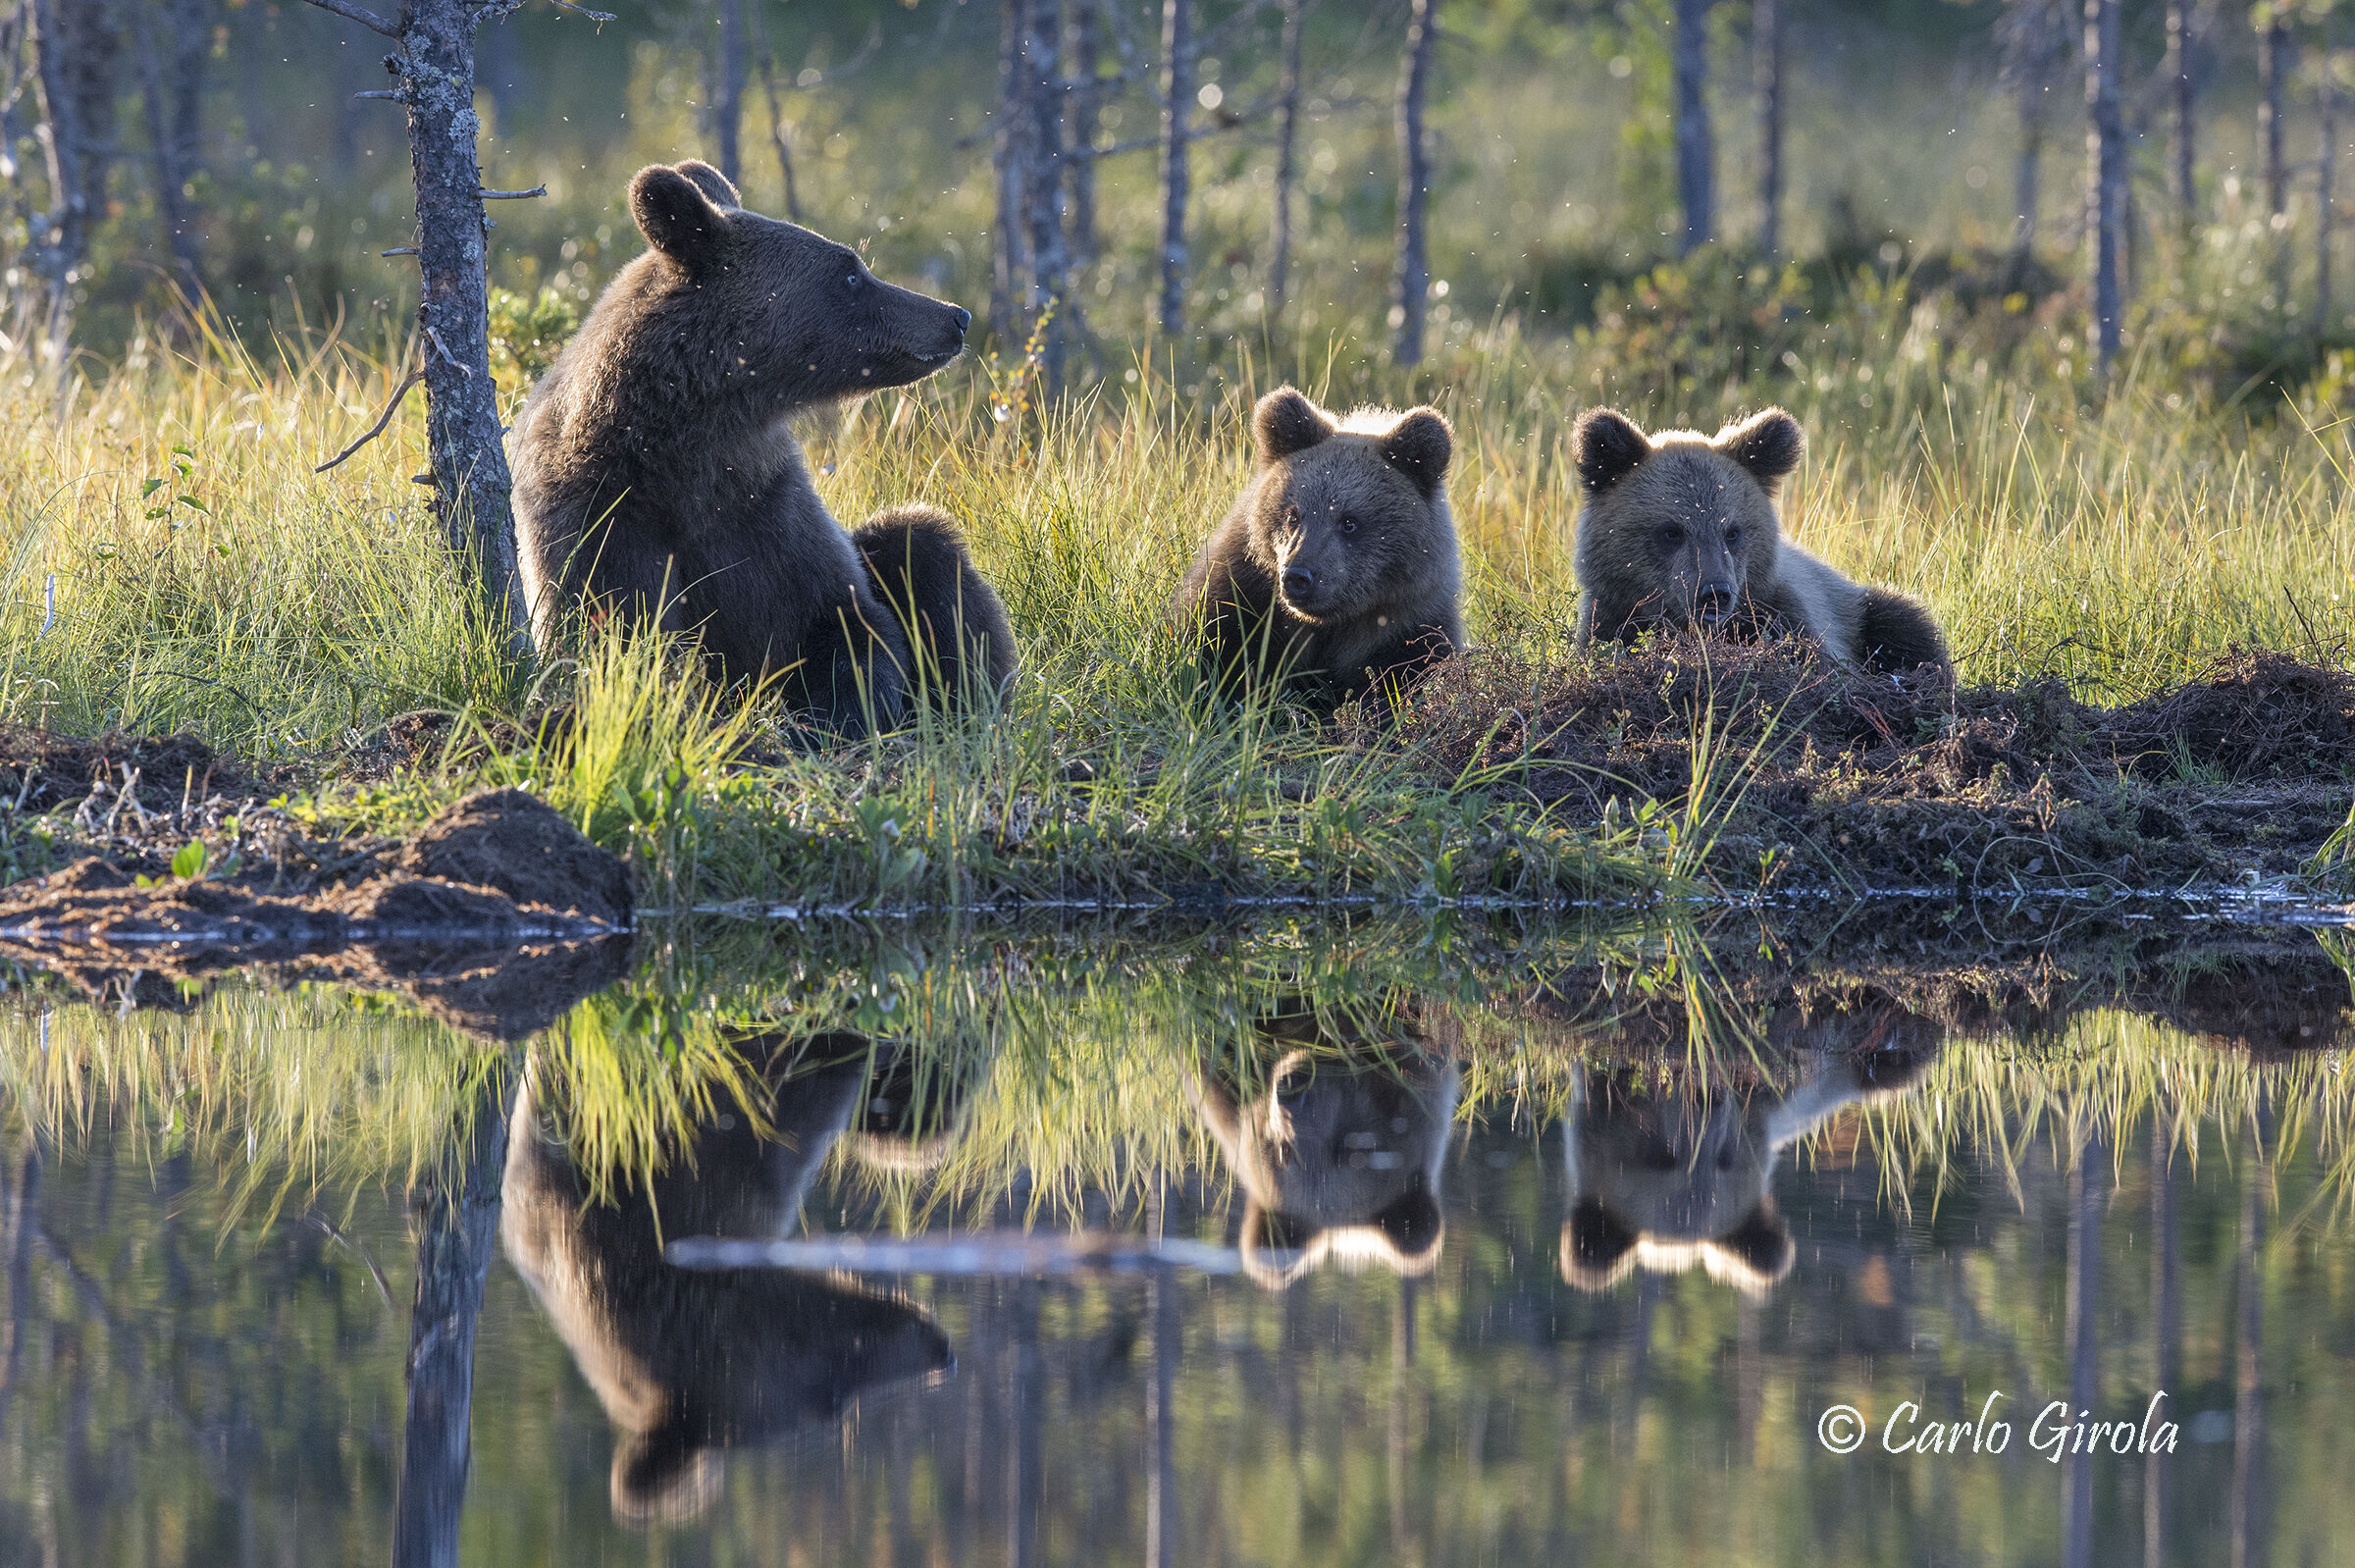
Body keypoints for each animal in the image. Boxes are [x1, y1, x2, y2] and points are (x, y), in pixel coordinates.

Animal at [510, 159, 1017, 734]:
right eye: (850, 273)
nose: (956, 316)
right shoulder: (603, 519)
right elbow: (620, 638)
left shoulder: (767, 506)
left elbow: (843, 619)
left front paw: (851, 712)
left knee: (920, 540)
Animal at [1173, 386, 1464, 711]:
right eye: (1293, 515)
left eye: (1349, 522)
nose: (1297, 576)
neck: (1326, 626)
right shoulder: (1239, 603)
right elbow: (1219, 660)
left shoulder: (1411, 631)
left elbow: (1395, 688)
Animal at [1570, 405, 1950, 677]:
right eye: (1672, 531)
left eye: (1732, 531)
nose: (1714, 593)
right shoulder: (1611, 617)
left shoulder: (1785, 613)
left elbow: (1816, 658)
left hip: (1857, 607)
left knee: (1905, 622)